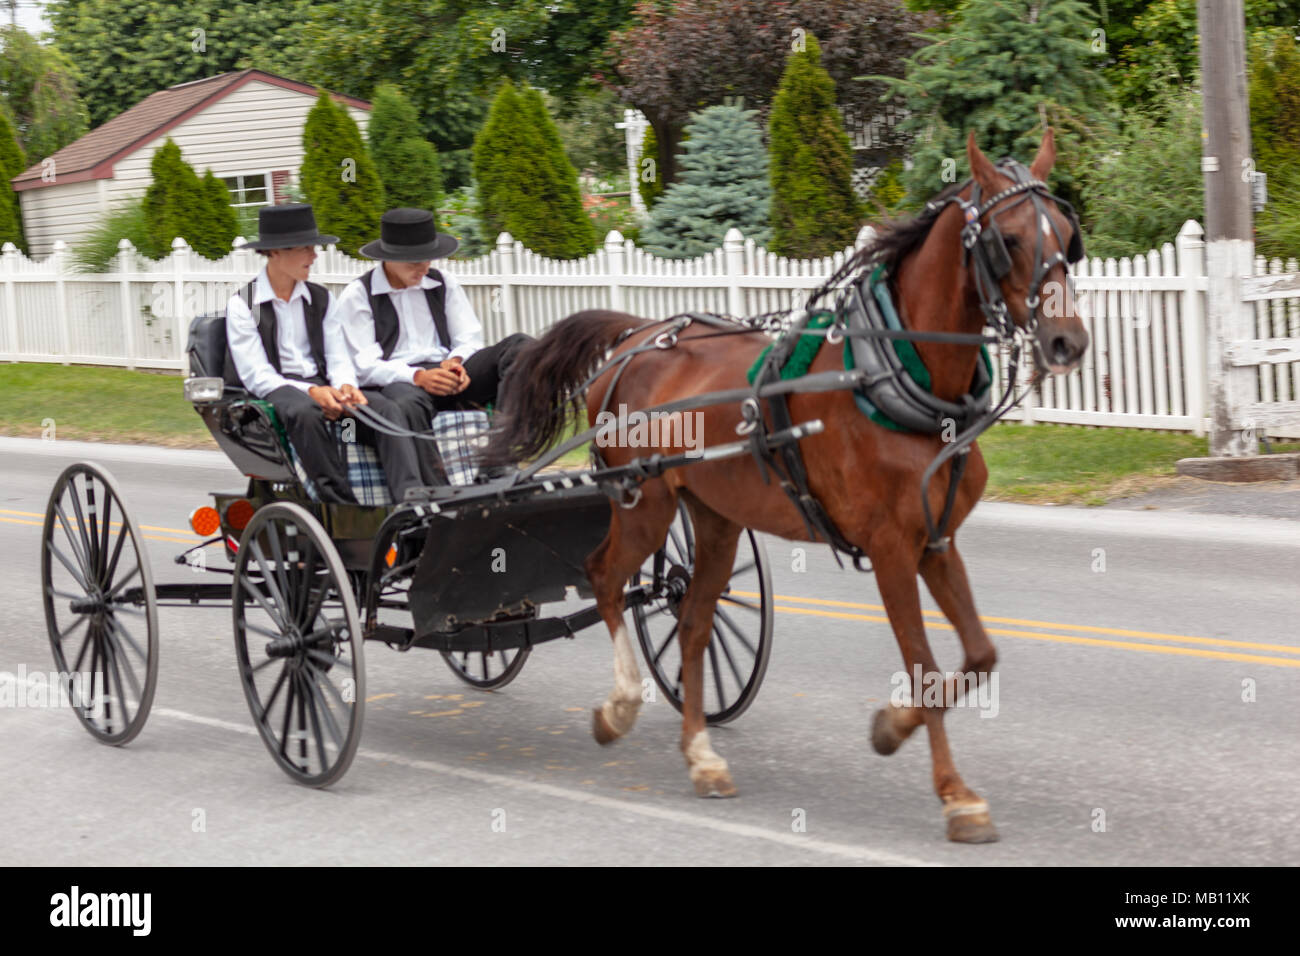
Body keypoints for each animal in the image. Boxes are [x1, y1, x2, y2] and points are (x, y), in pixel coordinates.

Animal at [486, 128, 1086, 842]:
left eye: (1068, 235)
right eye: (1011, 240)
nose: (1067, 340)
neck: (894, 376)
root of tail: (636, 336)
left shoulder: (937, 542)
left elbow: (978, 657)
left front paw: (891, 729)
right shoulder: (891, 549)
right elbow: (924, 664)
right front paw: (954, 794)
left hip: (714, 517)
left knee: (692, 622)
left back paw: (702, 755)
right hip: (643, 503)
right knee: (604, 577)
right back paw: (621, 706)